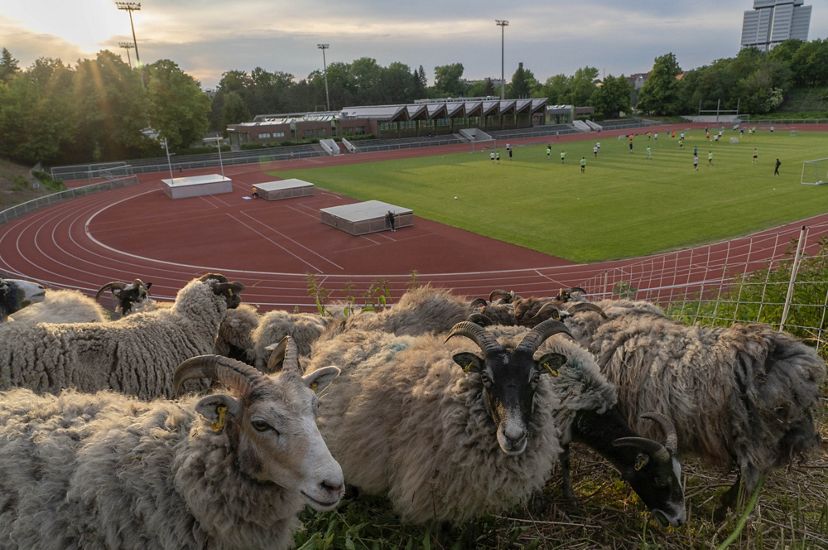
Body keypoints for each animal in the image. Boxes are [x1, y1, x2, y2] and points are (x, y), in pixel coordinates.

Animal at [304, 319, 685, 525]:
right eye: (659, 480)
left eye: (535, 378)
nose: (680, 520)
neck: (588, 400)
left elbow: (564, 462)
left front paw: (566, 497)